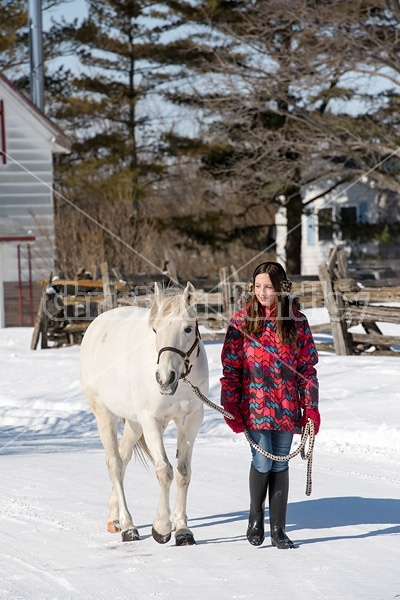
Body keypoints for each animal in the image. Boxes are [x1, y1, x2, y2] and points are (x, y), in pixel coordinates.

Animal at [79, 282, 208, 544]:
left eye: (188, 328)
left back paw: (115, 519)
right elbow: (164, 471)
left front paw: (182, 529)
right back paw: (128, 526)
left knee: (123, 458)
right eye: (156, 329)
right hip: (104, 414)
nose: (164, 379)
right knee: (114, 464)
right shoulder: (151, 421)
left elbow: (183, 472)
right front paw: (162, 528)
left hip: (134, 423)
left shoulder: (191, 421)